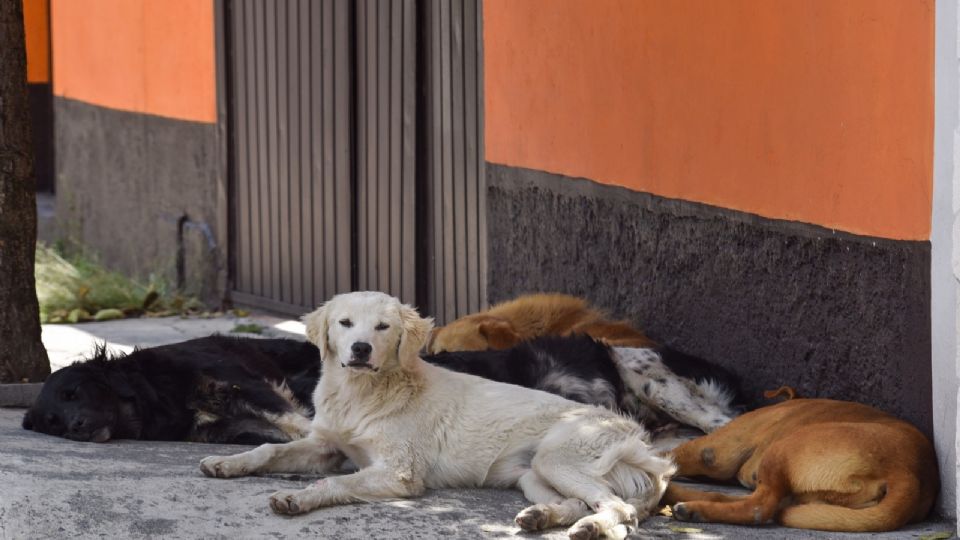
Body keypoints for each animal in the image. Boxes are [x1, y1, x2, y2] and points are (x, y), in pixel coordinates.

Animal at [22, 338, 320, 442]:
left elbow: (294, 420)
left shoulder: (243, 384)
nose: (76, 426)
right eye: (53, 422)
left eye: (72, 393)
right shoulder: (222, 430)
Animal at [664, 398, 932, 532]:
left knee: (758, 508)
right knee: (730, 497)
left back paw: (690, 507)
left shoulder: (711, 452)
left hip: (782, 449)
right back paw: (678, 497)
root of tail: (907, 472)